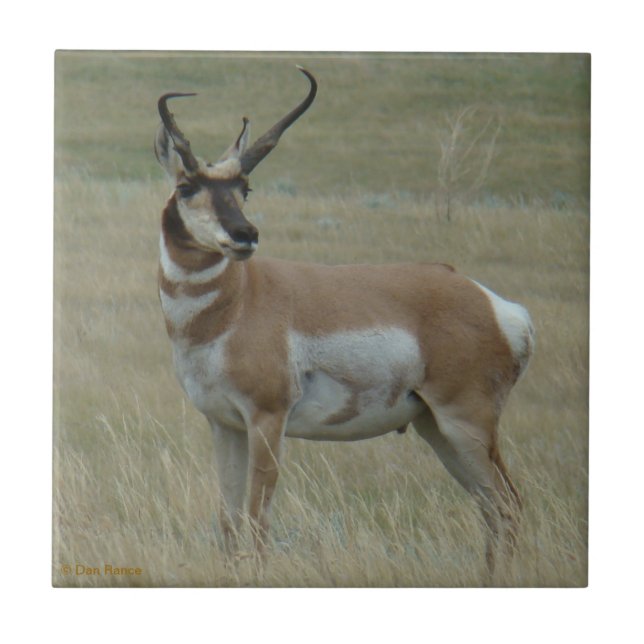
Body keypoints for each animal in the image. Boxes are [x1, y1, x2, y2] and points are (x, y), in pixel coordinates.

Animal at [154, 66, 534, 573]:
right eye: (186, 187)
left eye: (244, 189)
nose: (245, 234)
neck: (236, 304)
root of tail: (496, 305)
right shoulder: (225, 424)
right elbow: (229, 524)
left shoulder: (267, 420)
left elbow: (257, 523)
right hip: (437, 429)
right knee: (492, 507)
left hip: (465, 423)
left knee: (508, 504)